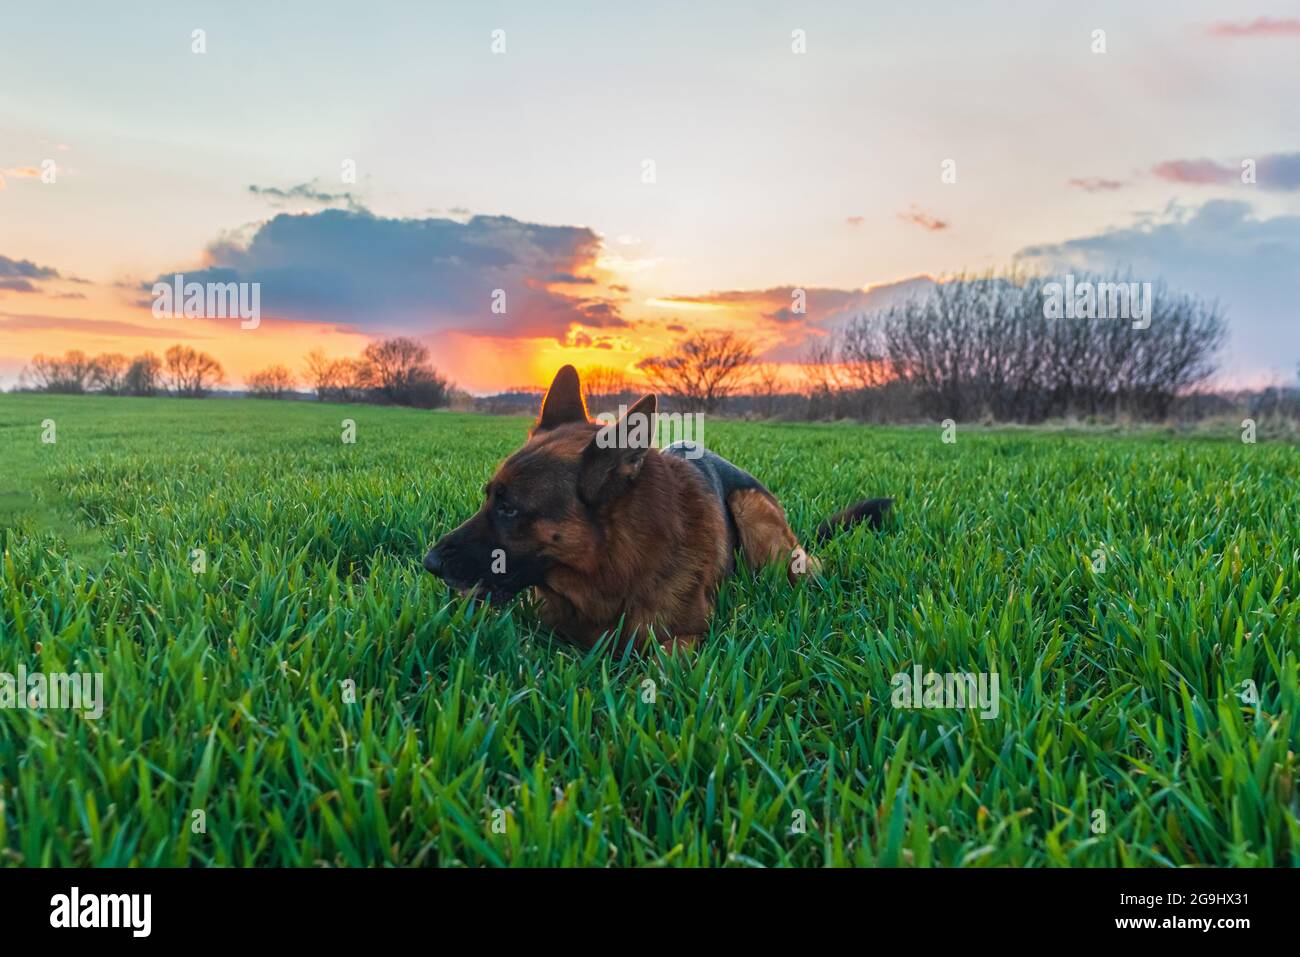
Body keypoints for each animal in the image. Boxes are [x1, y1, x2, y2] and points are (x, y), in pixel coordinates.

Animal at [421, 364, 889, 650]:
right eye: (489, 498)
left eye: (510, 509)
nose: (429, 563)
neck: (613, 568)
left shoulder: (685, 636)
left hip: (760, 527)